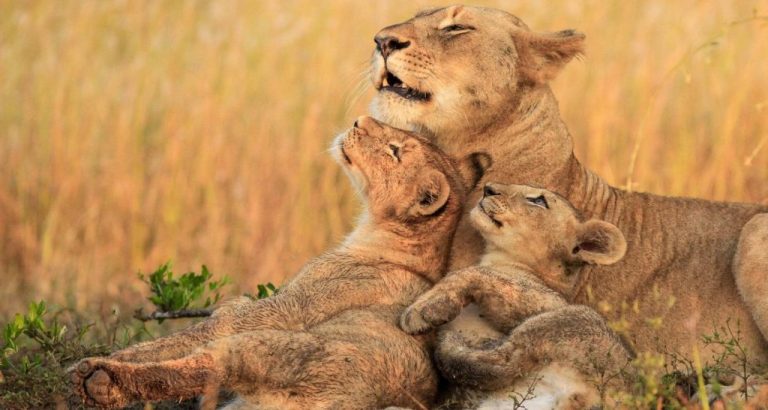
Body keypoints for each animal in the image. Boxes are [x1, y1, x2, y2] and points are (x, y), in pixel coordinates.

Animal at [68, 116, 489, 409]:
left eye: (395, 150)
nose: (359, 120)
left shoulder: (282, 310)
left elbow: (191, 333)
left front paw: (105, 358)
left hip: (261, 347)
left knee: (201, 366)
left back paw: (98, 379)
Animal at [400, 183, 633, 409]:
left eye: (539, 201)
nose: (488, 189)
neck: (501, 258)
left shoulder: (545, 301)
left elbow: (473, 272)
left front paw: (421, 310)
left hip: (572, 319)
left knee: (504, 361)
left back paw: (451, 342)